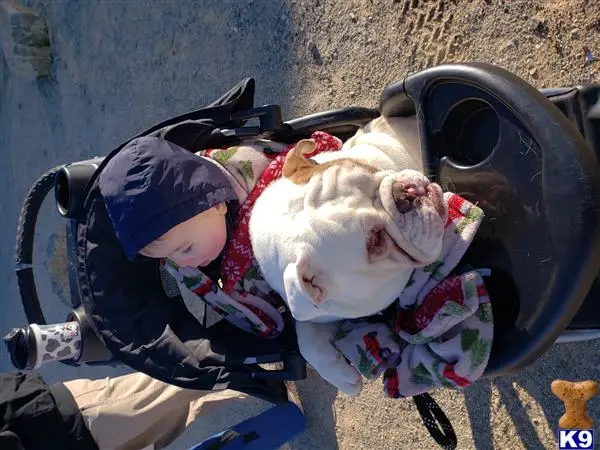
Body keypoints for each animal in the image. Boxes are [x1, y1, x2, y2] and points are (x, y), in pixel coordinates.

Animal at [246, 116, 448, 394]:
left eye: (366, 168)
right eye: (375, 241)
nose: (403, 196)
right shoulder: (318, 308)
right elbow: (304, 334)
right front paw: (340, 375)